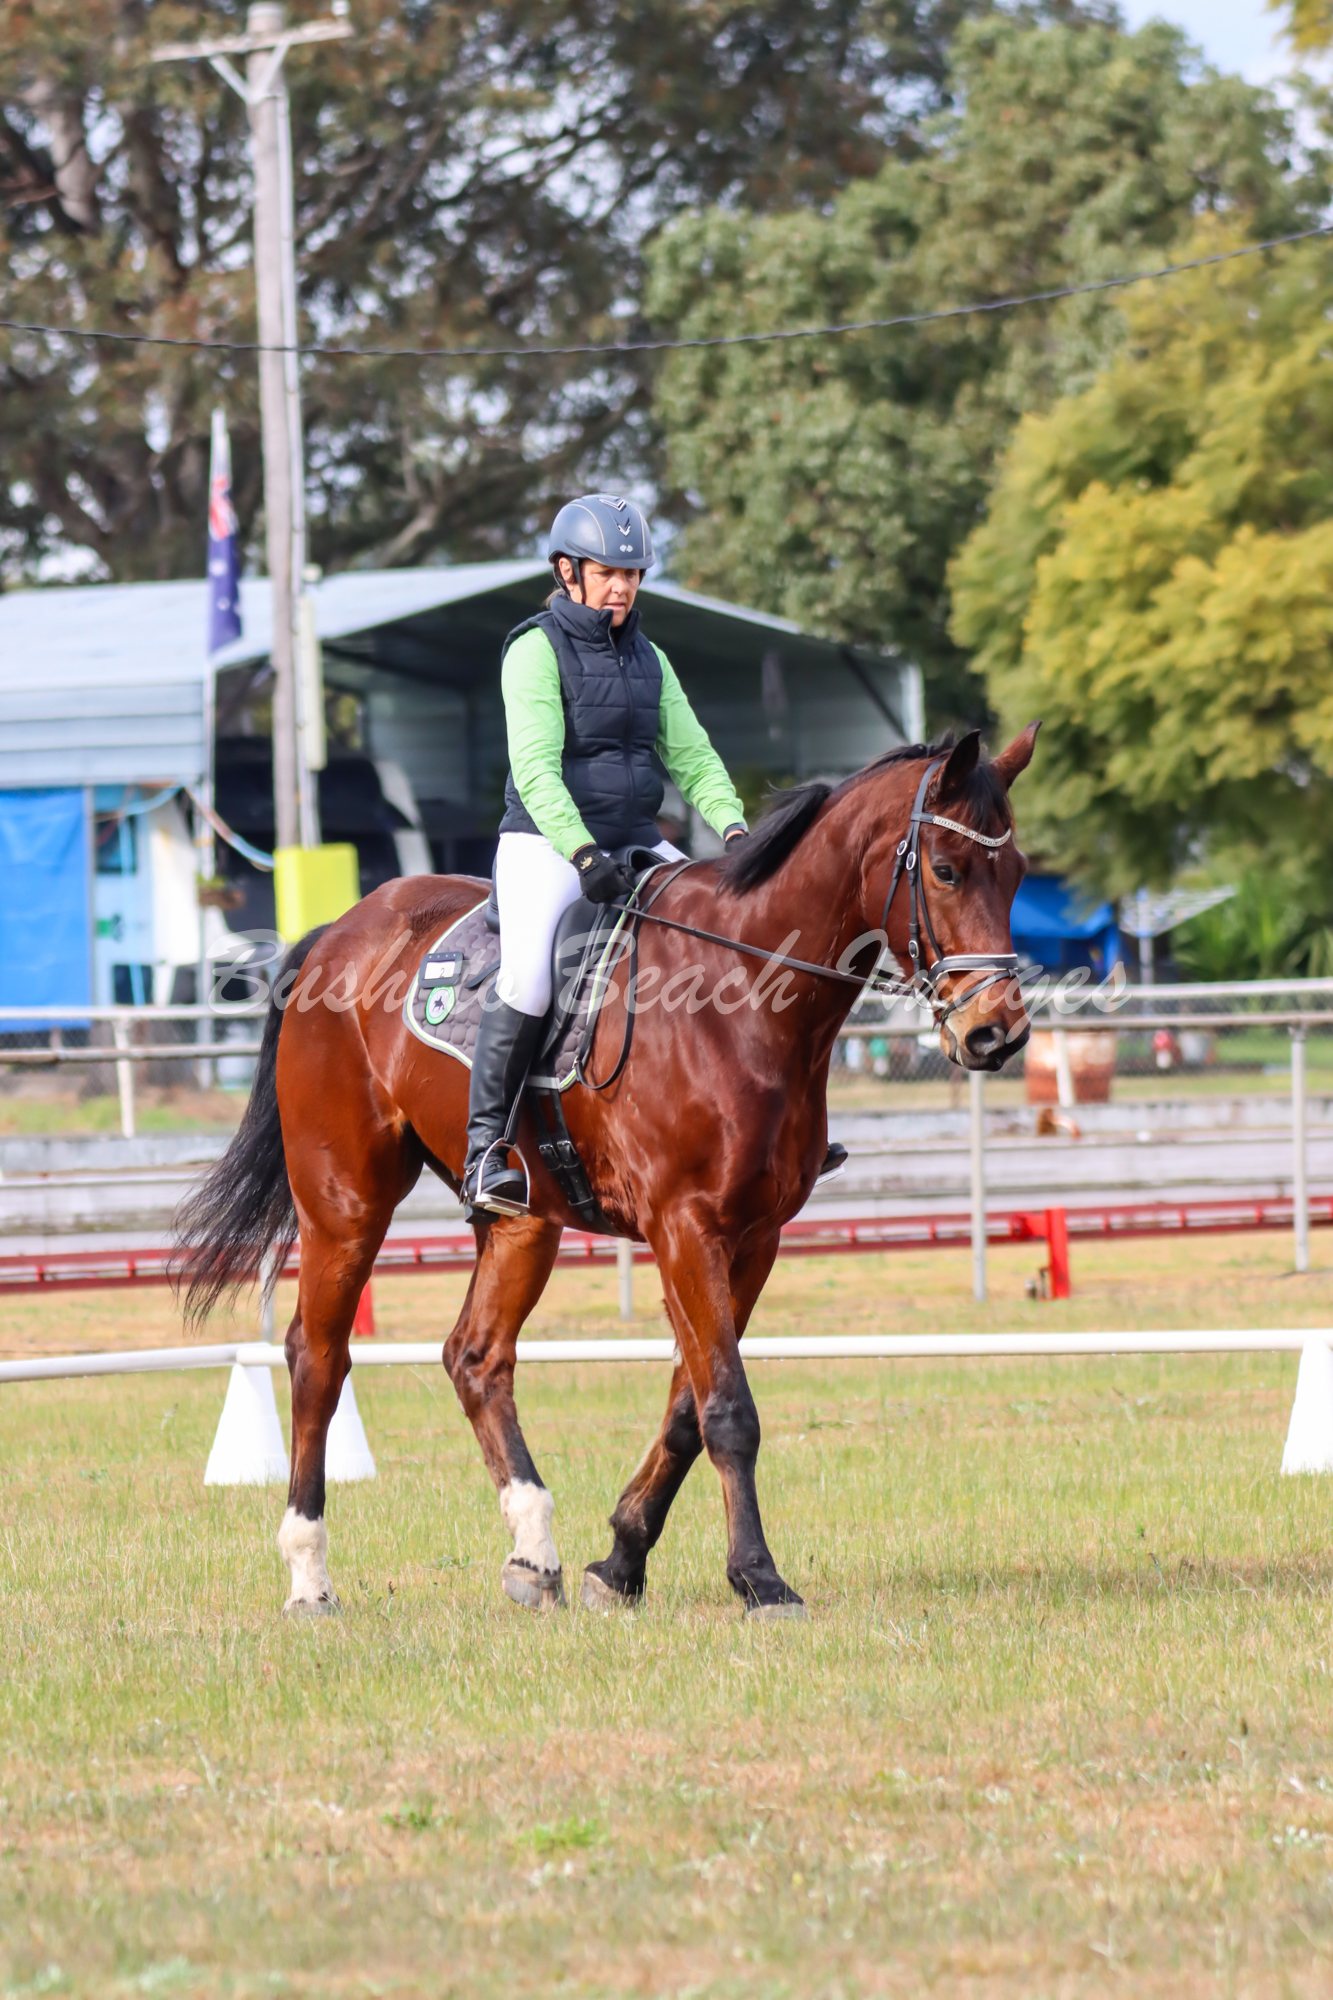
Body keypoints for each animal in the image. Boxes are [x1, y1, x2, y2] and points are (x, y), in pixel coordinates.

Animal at [177, 723, 1039, 1620]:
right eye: (945, 870)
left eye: (1016, 872)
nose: (997, 1033)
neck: (740, 1001)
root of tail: (340, 930)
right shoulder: (684, 1226)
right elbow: (729, 1409)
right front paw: (758, 1577)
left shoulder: (753, 1237)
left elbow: (689, 1409)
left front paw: (619, 1561)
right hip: (345, 1200)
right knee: (318, 1356)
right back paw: (310, 1576)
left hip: (523, 1220)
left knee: (476, 1357)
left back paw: (533, 1554)